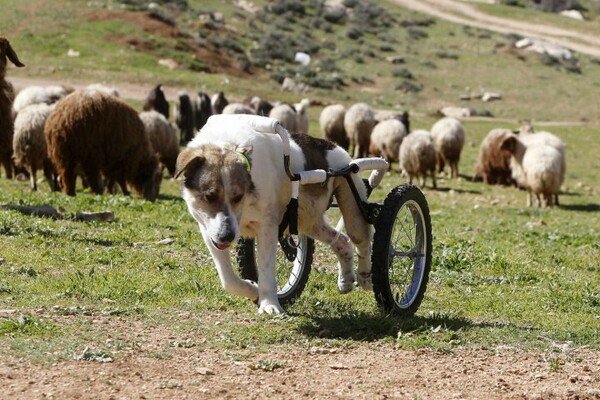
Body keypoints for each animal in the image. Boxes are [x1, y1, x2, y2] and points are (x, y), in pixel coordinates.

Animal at [173, 114, 372, 314]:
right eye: (209, 196)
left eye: (238, 196)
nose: (227, 236)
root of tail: (337, 148)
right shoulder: (208, 230)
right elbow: (228, 280)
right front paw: (252, 289)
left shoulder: (267, 227)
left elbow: (266, 270)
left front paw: (269, 303)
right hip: (307, 220)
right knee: (342, 241)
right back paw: (346, 279)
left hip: (352, 206)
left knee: (361, 242)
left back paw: (365, 277)